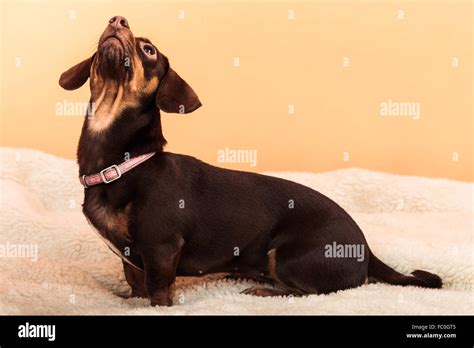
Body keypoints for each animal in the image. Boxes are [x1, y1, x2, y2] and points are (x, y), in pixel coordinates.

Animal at [58, 14, 440, 306]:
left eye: (148, 50)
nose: (117, 20)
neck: (123, 163)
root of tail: (367, 250)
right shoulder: (133, 261)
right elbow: (135, 286)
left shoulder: (161, 249)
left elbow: (158, 292)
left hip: (288, 256)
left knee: (310, 292)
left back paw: (261, 290)